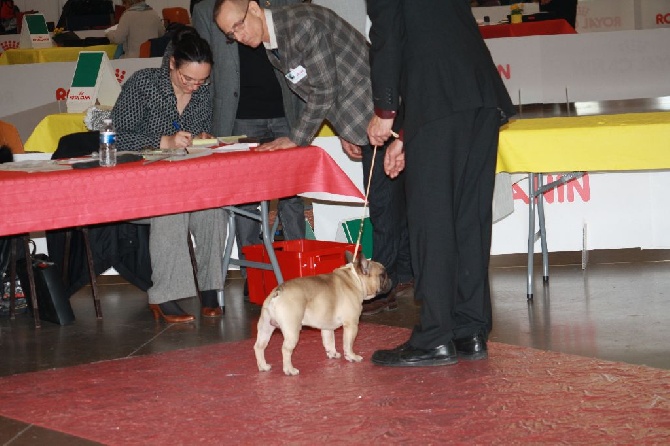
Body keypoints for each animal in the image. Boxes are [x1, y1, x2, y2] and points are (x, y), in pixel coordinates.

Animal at [256, 253, 394, 374]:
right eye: (383, 275)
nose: (391, 280)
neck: (355, 279)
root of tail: (278, 291)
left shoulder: (327, 327)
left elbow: (329, 341)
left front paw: (332, 354)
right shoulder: (352, 324)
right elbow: (348, 344)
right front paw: (352, 356)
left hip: (265, 327)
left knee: (259, 346)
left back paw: (263, 366)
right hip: (292, 329)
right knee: (285, 349)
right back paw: (289, 370)